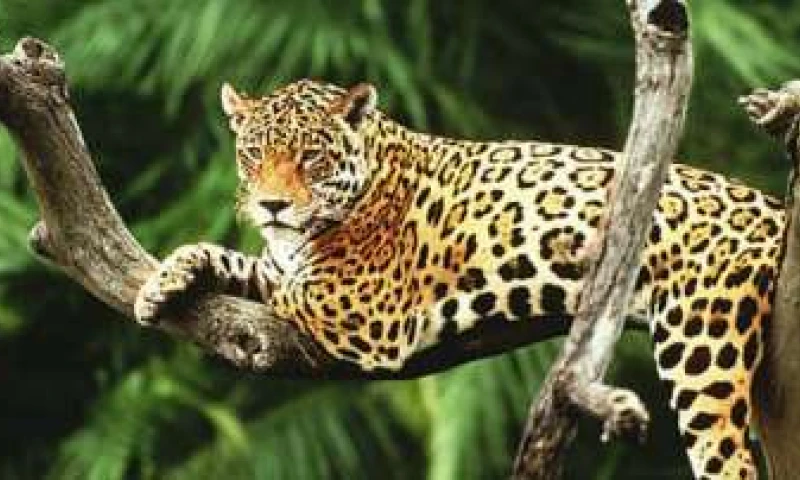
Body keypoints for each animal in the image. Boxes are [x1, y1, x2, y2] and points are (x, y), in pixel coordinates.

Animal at [134, 79, 783, 479]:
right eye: (253, 155)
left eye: (310, 159)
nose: (271, 205)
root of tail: (779, 209)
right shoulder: (280, 263)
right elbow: (230, 259)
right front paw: (159, 283)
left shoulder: (366, 308)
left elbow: (292, 291)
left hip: (702, 346)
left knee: (729, 458)